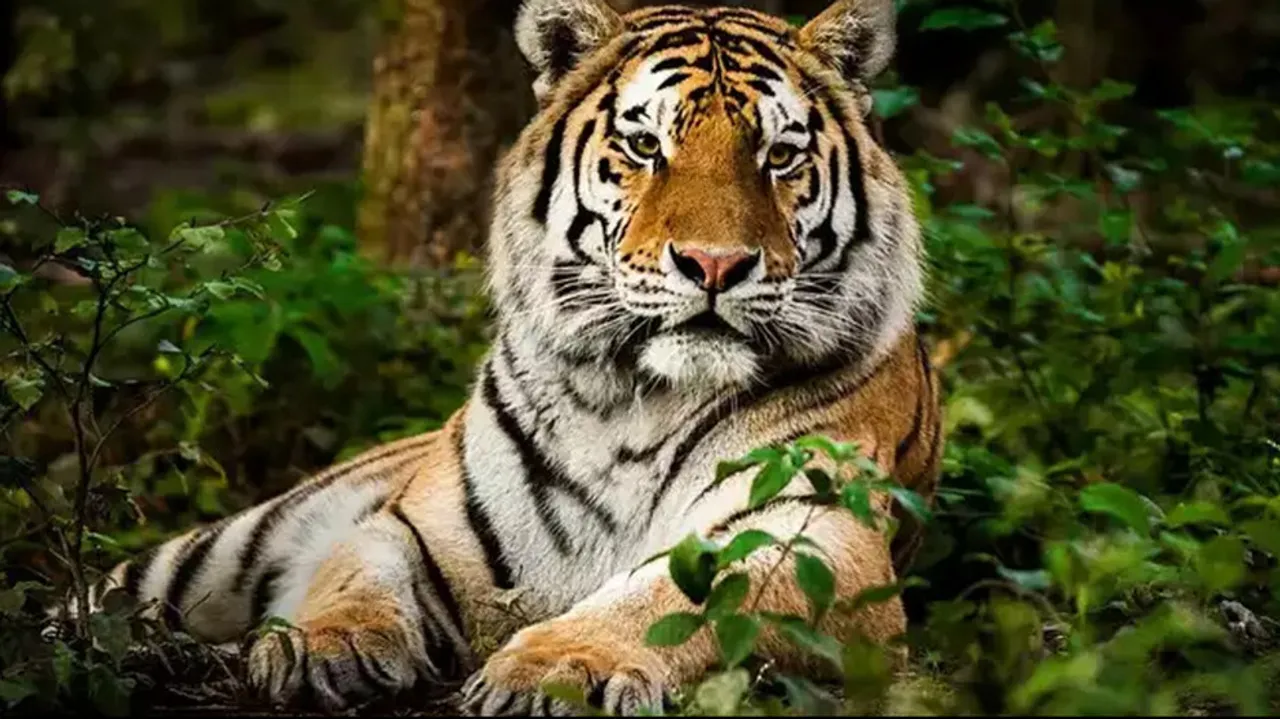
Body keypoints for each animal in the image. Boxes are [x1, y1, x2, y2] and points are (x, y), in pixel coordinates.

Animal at [69, 0, 942, 714]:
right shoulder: (415, 521)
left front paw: (559, 667)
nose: (715, 264)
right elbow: (354, 570)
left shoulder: (815, 535)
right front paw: (323, 645)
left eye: (779, 155)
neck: (638, 397)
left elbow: (672, 598)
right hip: (218, 550)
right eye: (644, 145)